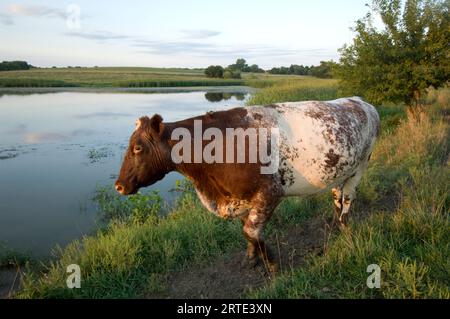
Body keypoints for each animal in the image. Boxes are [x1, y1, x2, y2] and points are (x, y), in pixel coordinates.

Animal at [116, 97, 380, 272]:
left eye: (137, 148)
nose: (119, 185)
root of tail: (361, 101)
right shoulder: (241, 197)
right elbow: (246, 231)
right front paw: (251, 258)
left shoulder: (270, 193)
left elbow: (250, 231)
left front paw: (272, 264)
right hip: (339, 169)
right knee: (337, 195)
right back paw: (335, 223)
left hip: (361, 165)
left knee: (348, 197)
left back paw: (344, 227)